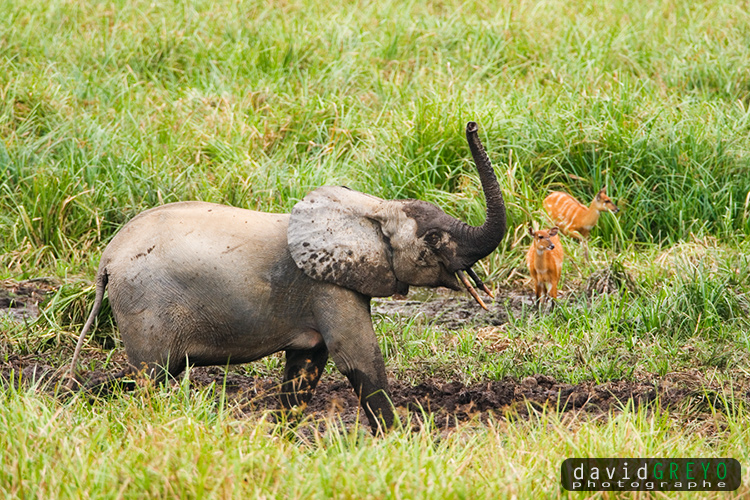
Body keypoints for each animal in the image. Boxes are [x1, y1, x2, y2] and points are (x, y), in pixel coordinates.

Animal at [67, 119, 508, 432]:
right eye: (433, 238)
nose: (471, 124)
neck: (373, 208)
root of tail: (107, 261)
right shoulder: (327, 287)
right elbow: (359, 358)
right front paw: (399, 447)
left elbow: (305, 368)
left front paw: (279, 441)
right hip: (146, 305)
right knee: (151, 377)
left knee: (143, 377)